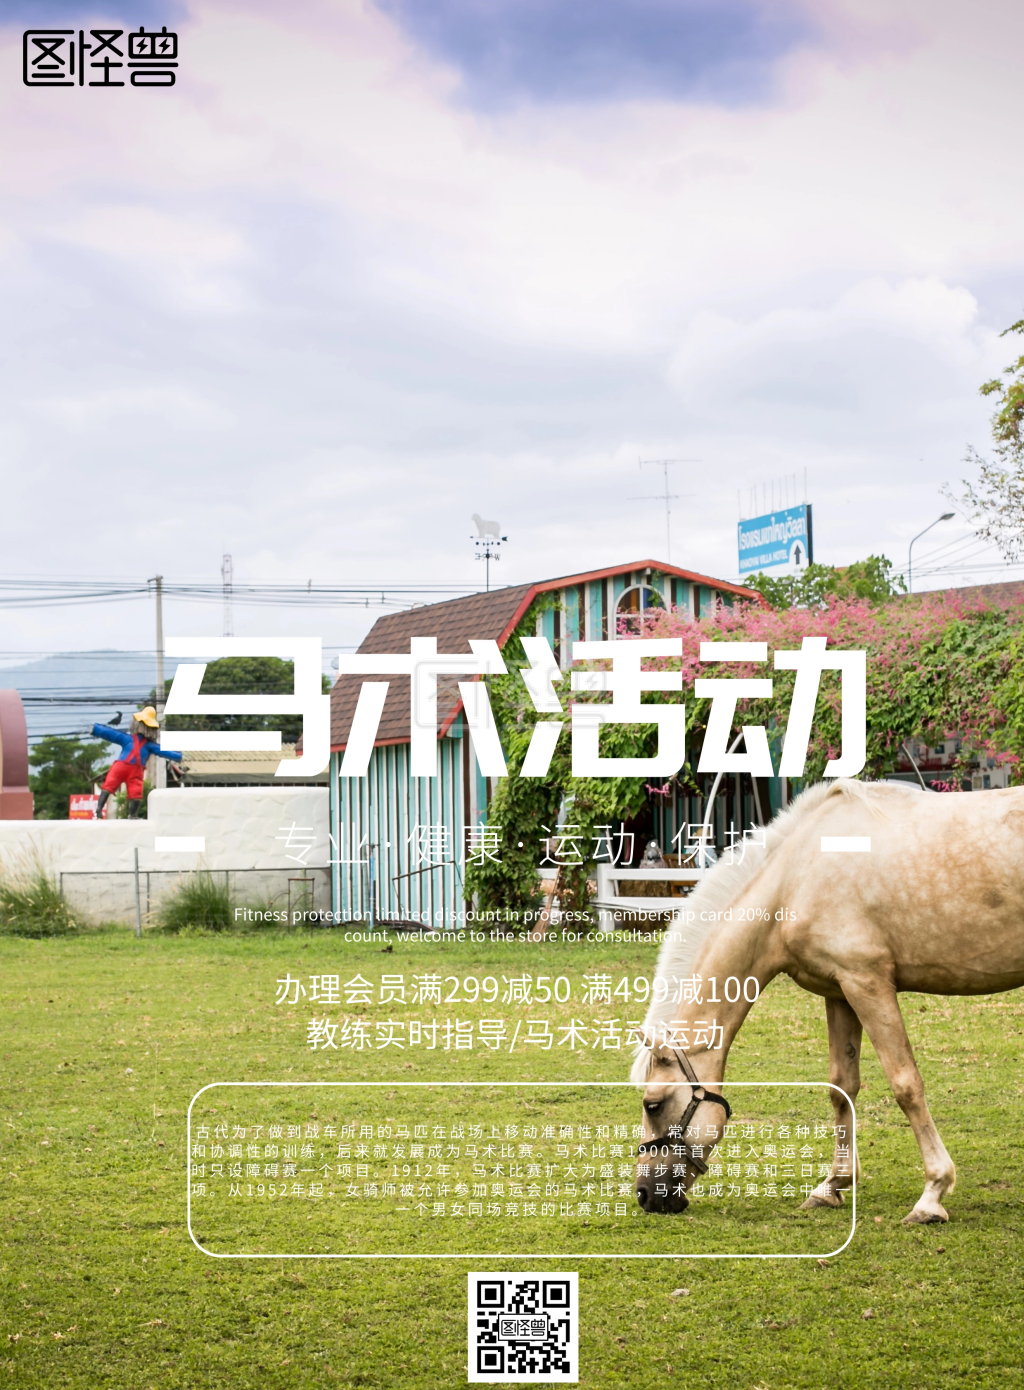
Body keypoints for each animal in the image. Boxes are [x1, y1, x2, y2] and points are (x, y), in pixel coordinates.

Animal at [631, 778, 1024, 1225]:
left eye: (653, 1105)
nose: (644, 1194)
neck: (796, 879)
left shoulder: (867, 983)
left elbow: (906, 1085)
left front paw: (932, 1194)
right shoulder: (840, 991)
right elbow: (841, 1086)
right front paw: (832, 1185)